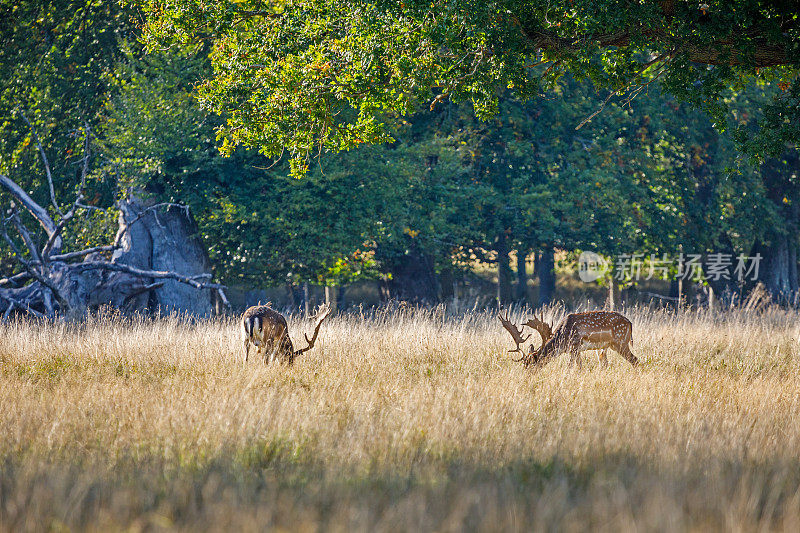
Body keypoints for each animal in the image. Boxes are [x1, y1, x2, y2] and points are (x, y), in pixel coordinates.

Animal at [496, 310, 640, 368]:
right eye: (524, 364)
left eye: (532, 363)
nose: (527, 376)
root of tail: (630, 323)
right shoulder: (575, 350)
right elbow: (579, 366)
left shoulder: (575, 346)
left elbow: (571, 366)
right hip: (608, 347)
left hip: (621, 342)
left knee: (635, 360)